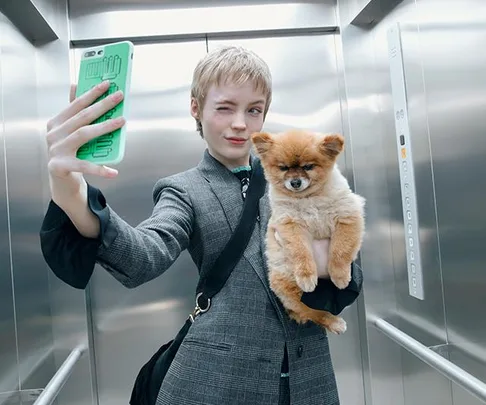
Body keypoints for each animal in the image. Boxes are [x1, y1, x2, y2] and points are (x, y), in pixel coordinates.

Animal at [251, 129, 364, 334]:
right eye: (284, 168)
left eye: (308, 167)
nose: (295, 182)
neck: (308, 199)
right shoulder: (291, 225)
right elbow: (301, 253)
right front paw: (307, 276)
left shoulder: (347, 216)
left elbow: (340, 251)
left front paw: (340, 276)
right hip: (290, 289)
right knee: (312, 312)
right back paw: (334, 322)